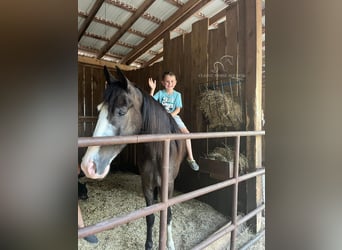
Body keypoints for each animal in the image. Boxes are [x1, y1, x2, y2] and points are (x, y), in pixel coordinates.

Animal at [80, 65, 186, 249]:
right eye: (100, 110)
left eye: (121, 112)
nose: (88, 166)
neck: (158, 151)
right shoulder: (147, 185)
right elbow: (150, 216)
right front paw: (149, 244)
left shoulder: (169, 186)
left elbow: (168, 214)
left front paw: (170, 243)